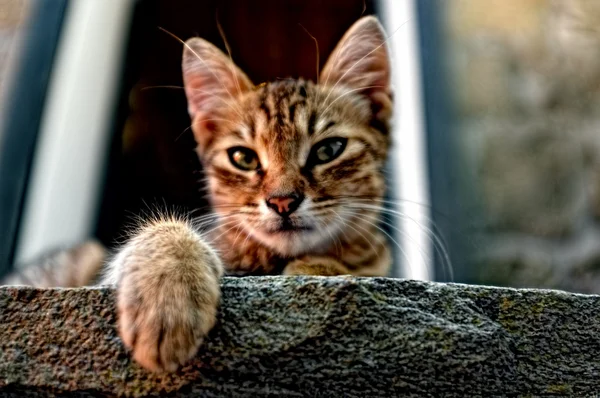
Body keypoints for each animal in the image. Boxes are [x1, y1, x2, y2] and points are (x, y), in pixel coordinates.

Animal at [1, 14, 394, 372]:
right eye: (244, 158)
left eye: (328, 150)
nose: (282, 201)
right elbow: (165, 230)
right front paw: (167, 297)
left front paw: (321, 265)